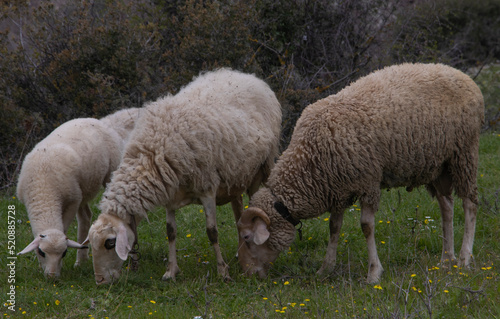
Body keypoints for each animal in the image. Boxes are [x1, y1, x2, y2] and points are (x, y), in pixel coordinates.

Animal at [16, 109, 140, 278]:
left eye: (64, 253)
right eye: (41, 252)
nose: (52, 276)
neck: (44, 191)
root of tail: (100, 121)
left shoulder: (72, 202)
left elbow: (64, 228)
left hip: (107, 174)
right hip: (82, 189)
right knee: (86, 216)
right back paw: (81, 261)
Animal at [85, 68, 282, 284]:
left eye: (110, 243)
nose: (100, 281)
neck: (153, 152)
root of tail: (245, 75)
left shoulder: (207, 189)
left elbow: (212, 232)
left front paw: (223, 271)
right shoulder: (170, 196)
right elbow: (170, 232)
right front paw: (171, 271)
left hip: (261, 168)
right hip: (235, 177)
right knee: (239, 211)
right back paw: (240, 252)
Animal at [237, 62, 484, 282]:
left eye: (247, 237)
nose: (247, 275)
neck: (310, 156)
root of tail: (466, 78)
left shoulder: (368, 182)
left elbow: (366, 226)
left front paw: (374, 272)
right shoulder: (337, 188)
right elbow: (333, 227)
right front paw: (325, 268)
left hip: (465, 153)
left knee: (470, 204)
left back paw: (464, 258)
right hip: (438, 165)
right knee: (447, 208)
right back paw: (446, 259)